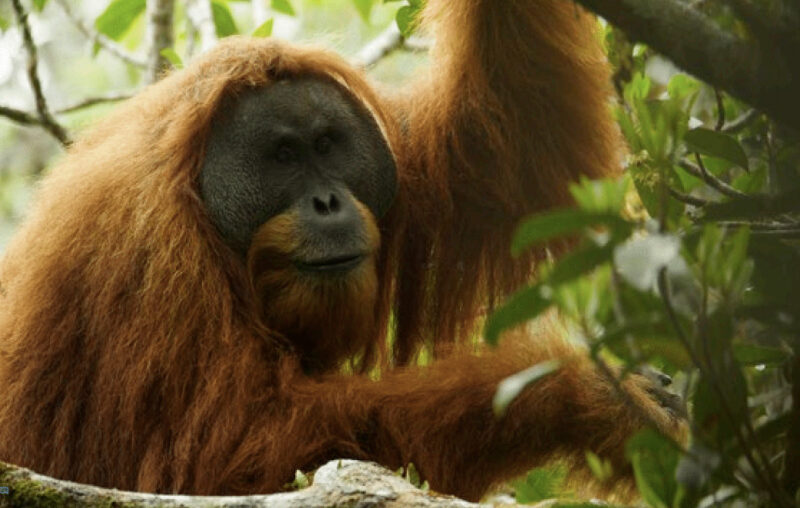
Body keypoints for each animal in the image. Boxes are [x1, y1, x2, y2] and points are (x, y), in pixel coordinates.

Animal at [0, 0, 685, 502]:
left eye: (327, 145)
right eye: (282, 156)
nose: (328, 201)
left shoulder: (405, 163)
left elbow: (505, 141)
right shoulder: (145, 259)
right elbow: (215, 461)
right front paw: (589, 394)